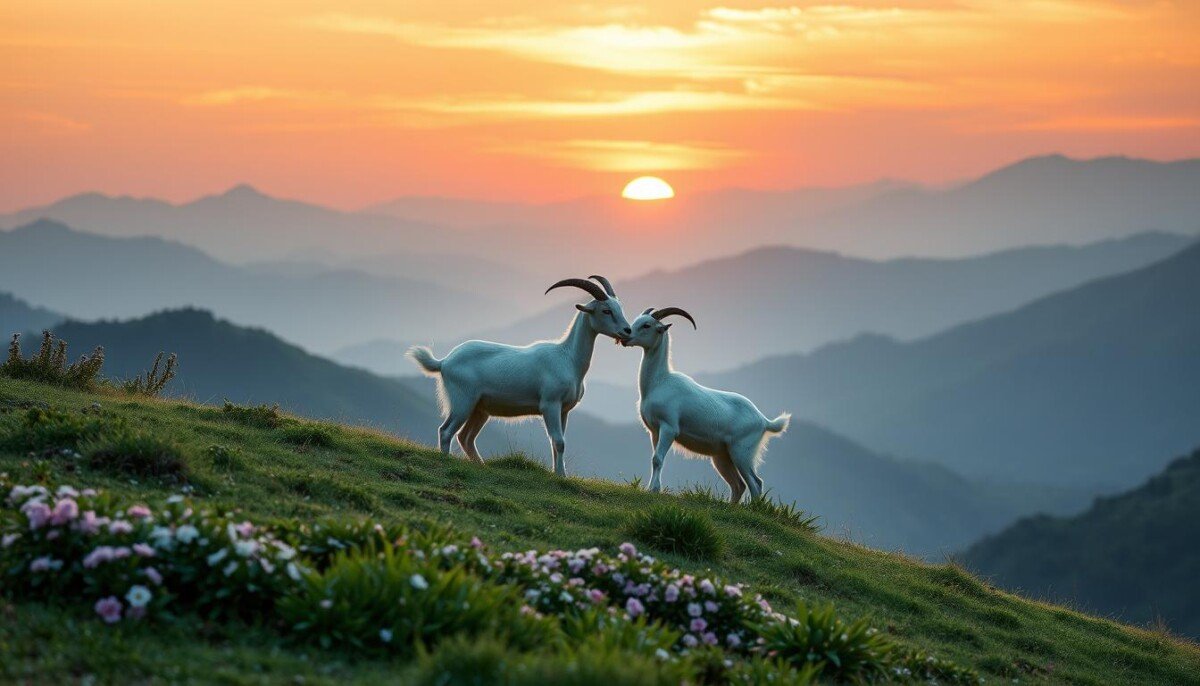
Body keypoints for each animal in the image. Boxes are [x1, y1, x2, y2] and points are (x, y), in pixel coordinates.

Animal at [407, 275, 632, 476]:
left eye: (619, 308)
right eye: (606, 310)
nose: (627, 330)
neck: (567, 358)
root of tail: (444, 362)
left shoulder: (564, 410)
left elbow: (557, 442)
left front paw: (558, 473)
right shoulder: (550, 404)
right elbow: (559, 441)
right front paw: (561, 476)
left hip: (479, 409)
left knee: (465, 437)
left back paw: (481, 465)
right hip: (463, 401)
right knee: (446, 431)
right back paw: (446, 461)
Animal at [622, 307, 790, 502]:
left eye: (647, 325)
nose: (625, 337)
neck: (659, 382)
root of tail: (764, 421)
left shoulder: (669, 427)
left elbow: (657, 459)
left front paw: (654, 490)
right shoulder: (655, 430)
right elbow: (655, 458)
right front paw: (652, 488)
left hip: (742, 452)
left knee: (756, 483)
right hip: (723, 457)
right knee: (738, 485)